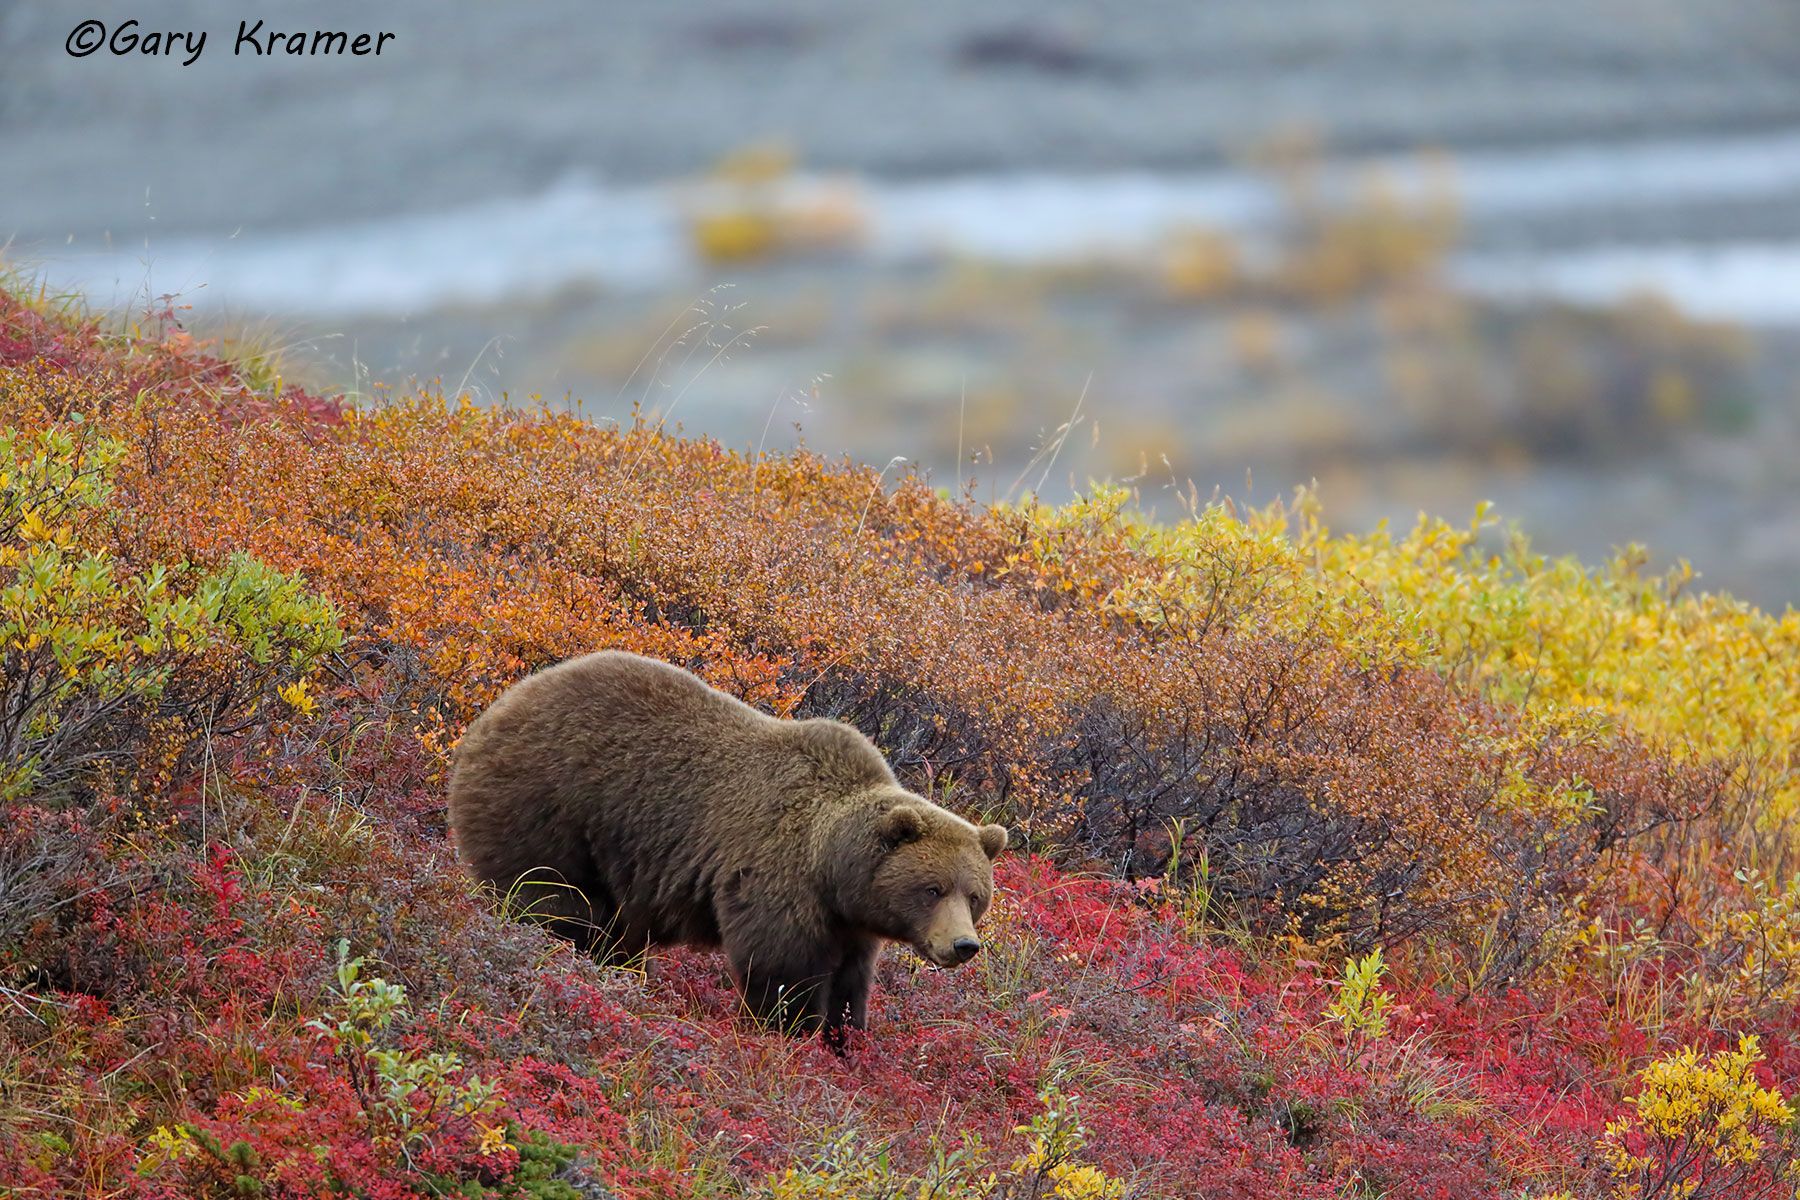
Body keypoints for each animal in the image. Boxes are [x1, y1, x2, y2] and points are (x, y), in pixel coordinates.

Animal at [447, 650, 1008, 1046]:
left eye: (975, 896)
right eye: (932, 888)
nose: (964, 945)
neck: (830, 868)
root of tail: (497, 707)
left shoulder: (850, 922)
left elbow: (851, 982)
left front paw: (845, 1037)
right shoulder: (776, 876)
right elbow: (781, 968)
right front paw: (787, 1032)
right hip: (549, 806)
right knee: (556, 900)